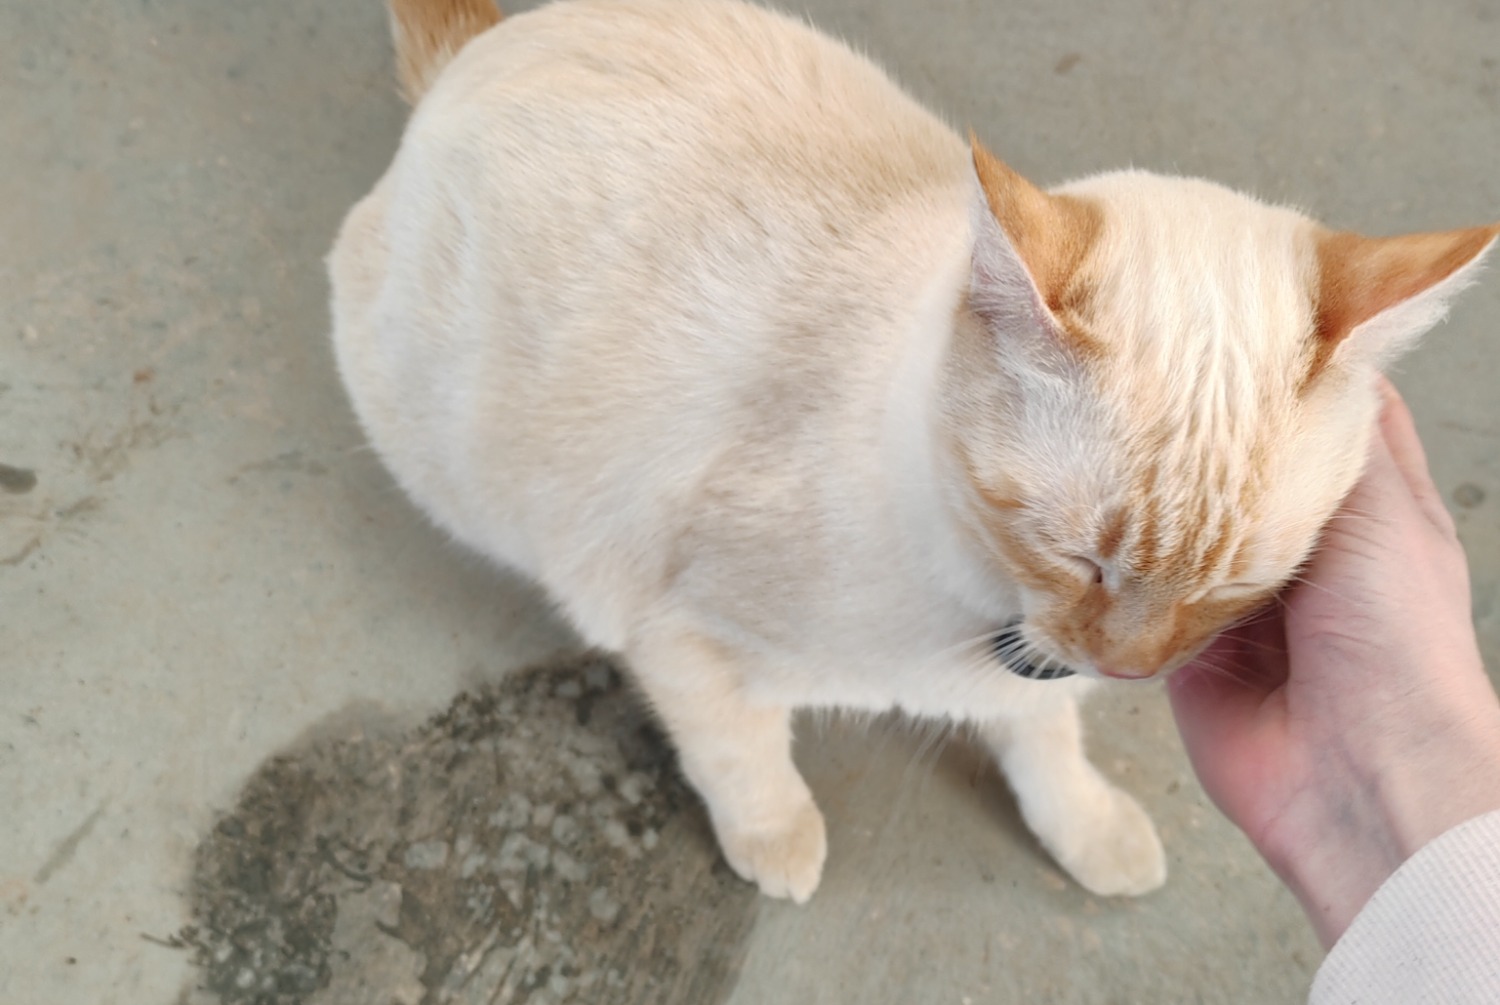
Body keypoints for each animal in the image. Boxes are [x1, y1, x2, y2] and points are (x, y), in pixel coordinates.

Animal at [331, 0, 1500, 906]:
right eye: (1078, 559)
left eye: (1236, 587)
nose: (1128, 669)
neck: (983, 610)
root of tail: (489, 47)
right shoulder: (674, 629)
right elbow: (740, 755)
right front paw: (776, 842)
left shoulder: (1038, 682)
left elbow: (1048, 748)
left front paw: (1092, 829)